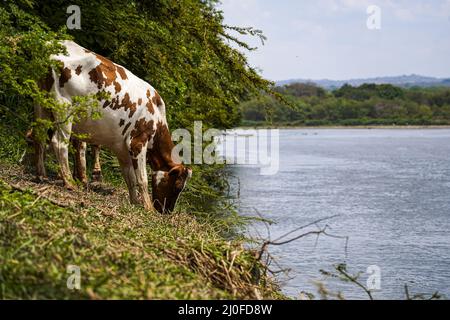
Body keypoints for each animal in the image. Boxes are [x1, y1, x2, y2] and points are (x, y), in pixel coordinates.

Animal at [34, 41, 190, 214]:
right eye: (177, 187)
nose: (167, 211)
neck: (157, 116)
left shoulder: (122, 149)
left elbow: (130, 178)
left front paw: (134, 202)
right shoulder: (137, 142)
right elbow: (142, 179)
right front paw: (147, 207)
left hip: (41, 103)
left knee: (39, 135)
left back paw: (41, 174)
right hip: (64, 108)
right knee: (59, 143)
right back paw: (69, 182)